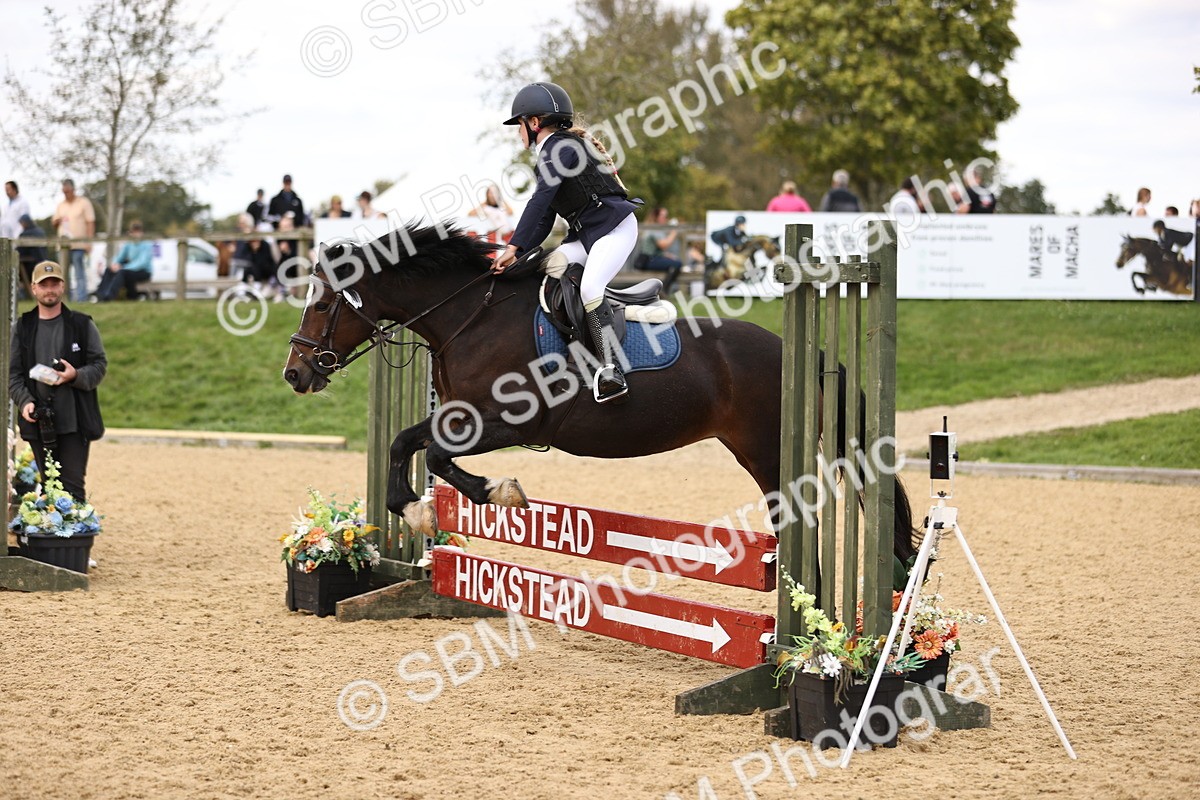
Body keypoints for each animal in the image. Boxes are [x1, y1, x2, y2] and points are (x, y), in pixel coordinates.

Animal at [283, 223, 917, 581]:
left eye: (322, 304)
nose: (295, 373)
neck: (472, 317)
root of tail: (803, 350)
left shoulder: (508, 422)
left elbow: (436, 456)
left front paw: (501, 492)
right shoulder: (459, 416)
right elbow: (404, 443)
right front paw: (415, 510)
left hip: (767, 454)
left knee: (796, 521)